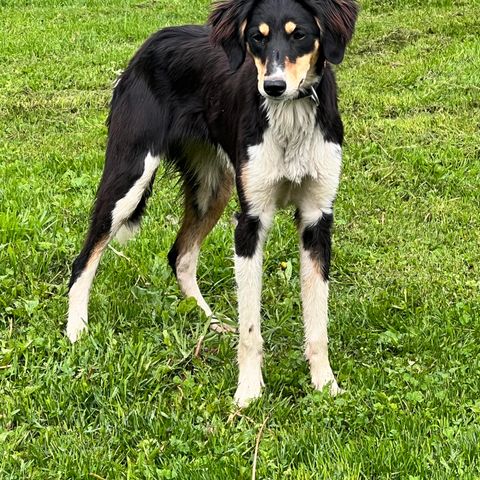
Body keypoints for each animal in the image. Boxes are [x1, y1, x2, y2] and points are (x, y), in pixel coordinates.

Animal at [66, 0, 356, 408]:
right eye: (256, 38)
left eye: (299, 34)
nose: (273, 87)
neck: (290, 117)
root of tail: (151, 42)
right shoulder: (250, 222)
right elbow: (251, 327)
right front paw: (248, 392)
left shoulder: (318, 219)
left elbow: (317, 321)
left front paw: (325, 385)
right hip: (129, 176)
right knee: (85, 258)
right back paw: (76, 330)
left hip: (213, 187)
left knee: (180, 256)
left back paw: (212, 323)